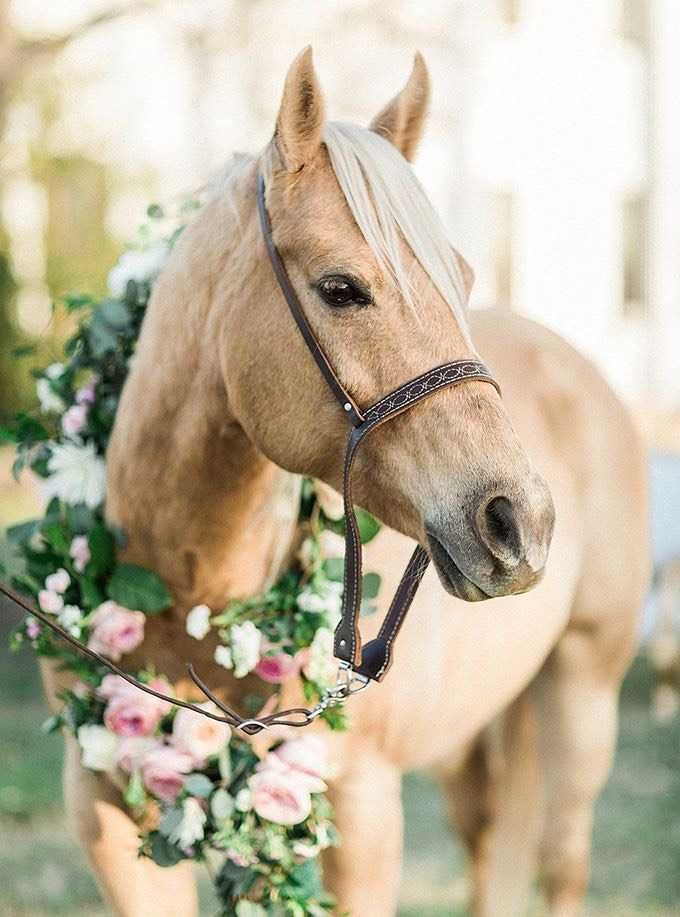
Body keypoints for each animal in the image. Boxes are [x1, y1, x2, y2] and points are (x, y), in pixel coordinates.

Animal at [42, 48, 648, 916]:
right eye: (340, 288)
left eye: (462, 277)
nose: (520, 522)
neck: (193, 589)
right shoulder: (107, 810)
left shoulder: (362, 813)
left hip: (583, 694)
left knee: (561, 863)